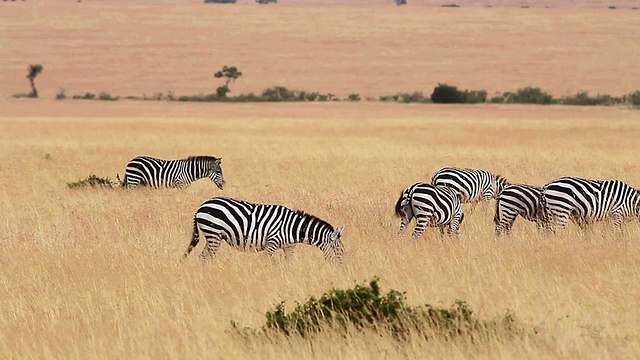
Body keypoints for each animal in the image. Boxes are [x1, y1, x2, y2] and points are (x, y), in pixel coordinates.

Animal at [184, 197, 344, 262]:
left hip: (212, 236)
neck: (293, 228)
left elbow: (290, 264)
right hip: (213, 234)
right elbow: (266, 262)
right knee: (207, 256)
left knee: (203, 257)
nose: (343, 270)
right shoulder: (271, 243)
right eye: (339, 250)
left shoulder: (289, 247)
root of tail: (202, 205)